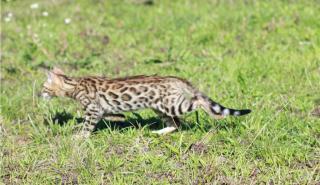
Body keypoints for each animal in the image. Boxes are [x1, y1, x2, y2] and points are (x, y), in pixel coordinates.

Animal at [40, 67, 250, 137]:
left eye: (43, 86)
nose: (39, 94)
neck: (74, 85)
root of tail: (174, 78)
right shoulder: (103, 110)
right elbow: (113, 115)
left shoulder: (94, 110)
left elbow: (86, 126)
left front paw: (79, 138)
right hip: (161, 108)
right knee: (176, 124)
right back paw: (158, 133)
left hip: (174, 105)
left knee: (198, 101)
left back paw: (214, 114)